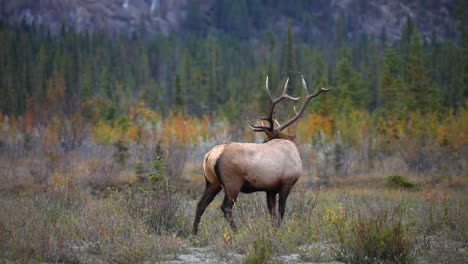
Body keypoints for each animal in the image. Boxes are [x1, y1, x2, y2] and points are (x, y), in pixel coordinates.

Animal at [192, 75, 330, 234]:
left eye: (265, 140)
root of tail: (210, 155)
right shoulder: (286, 183)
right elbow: (281, 210)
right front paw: (280, 230)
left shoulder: (270, 189)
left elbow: (272, 212)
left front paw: (274, 230)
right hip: (232, 182)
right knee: (226, 208)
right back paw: (236, 232)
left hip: (212, 182)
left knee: (200, 204)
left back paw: (194, 234)